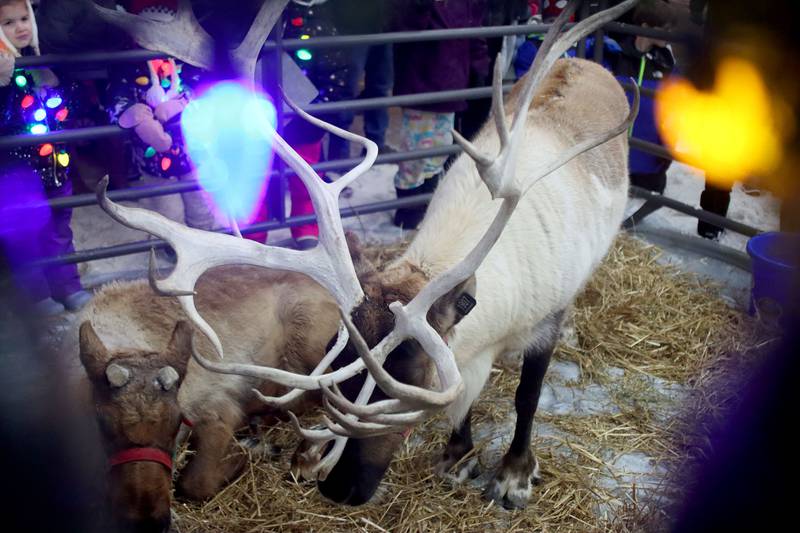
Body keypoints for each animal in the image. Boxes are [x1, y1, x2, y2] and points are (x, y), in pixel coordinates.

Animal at [91, 0, 640, 515]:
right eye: (342, 362)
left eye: (410, 381)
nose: (337, 489)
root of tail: (587, 62)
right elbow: (465, 400)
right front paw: (456, 455)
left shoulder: (543, 321)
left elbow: (527, 397)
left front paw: (514, 477)